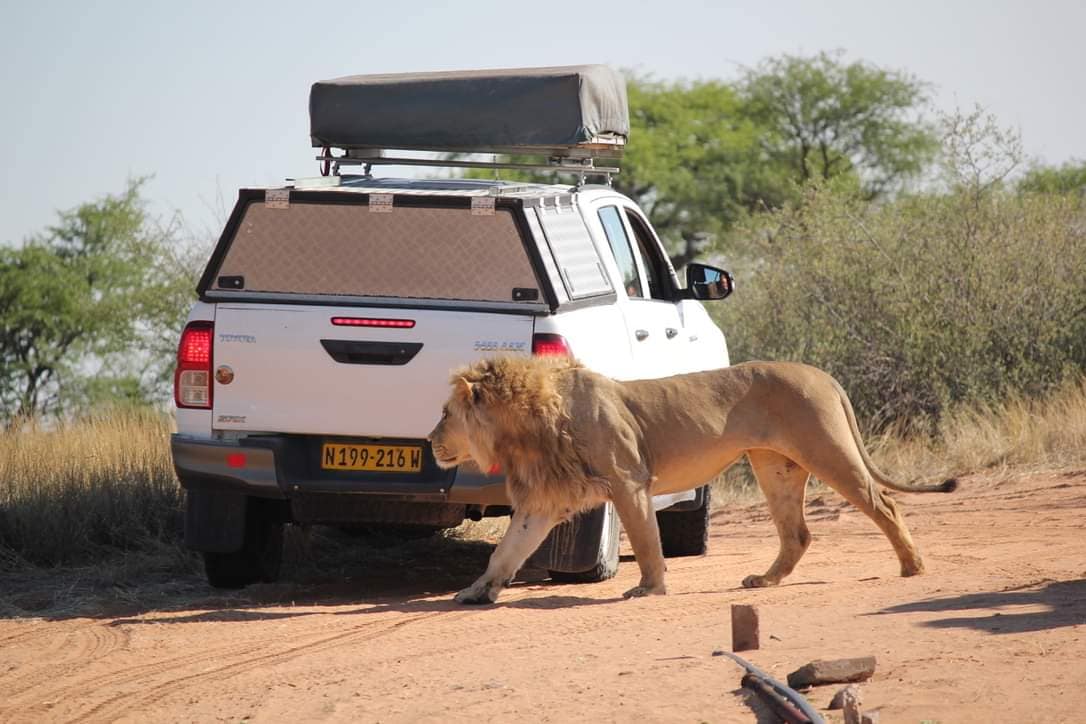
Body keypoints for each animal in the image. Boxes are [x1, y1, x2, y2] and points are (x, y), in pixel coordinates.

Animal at [428, 356, 956, 605]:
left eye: (445, 413)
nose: (430, 440)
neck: (531, 421)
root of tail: (823, 374)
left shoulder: (629, 479)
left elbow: (645, 540)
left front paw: (649, 589)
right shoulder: (544, 499)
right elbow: (506, 551)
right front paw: (477, 592)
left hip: (827, 449)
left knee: (884, 504)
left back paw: (912, 567)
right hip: (775, 466)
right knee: (798, 533)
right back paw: (764, 580)